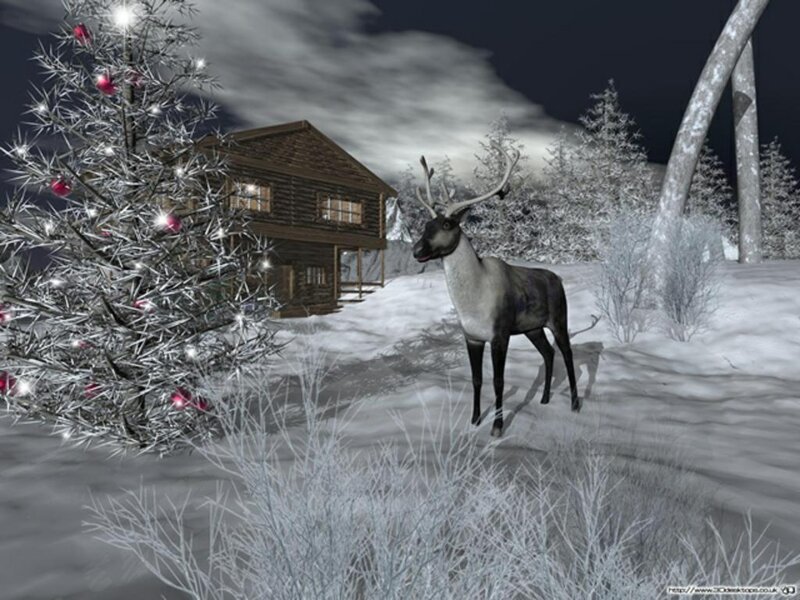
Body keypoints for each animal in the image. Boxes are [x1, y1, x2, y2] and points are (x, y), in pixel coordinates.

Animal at [411, 143, 580, 437]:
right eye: (426, 225)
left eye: (447, 225)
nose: (417, 250)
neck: (471, 301)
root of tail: (557, 279)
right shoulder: (472, 337)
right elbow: (476, 379)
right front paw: (474, 420)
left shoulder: (500, 334)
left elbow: (498, 381)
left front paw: (498, 427)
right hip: (532, 327)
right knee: (548, 353)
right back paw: (545, 398)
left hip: (559, 317)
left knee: (567, 354)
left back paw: (574, 403)